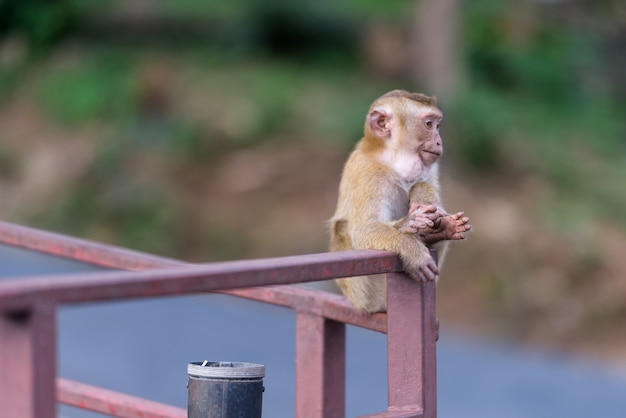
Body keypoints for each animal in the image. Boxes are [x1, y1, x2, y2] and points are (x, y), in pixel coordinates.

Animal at [326, 90, 468, 314]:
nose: (439, 142)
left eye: (437, 126)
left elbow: (424, 185)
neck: (392, 161)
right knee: (342, 228)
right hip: (364, 295)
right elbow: (364, 230)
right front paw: (409, 244)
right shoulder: (368, 174)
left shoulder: (431, 168)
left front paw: (425, 204)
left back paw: (439, 229)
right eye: (429, 124)